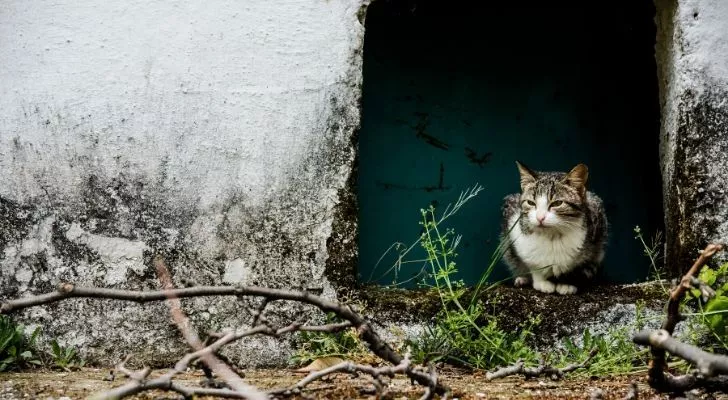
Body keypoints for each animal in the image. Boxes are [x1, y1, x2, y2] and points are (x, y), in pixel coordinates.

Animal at [500, 161, 608, 296]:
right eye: (531, 203)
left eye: (557, 203)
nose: (540, 217)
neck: (552, 235)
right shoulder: (515, 227)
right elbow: (534, 263)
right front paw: (541, 282)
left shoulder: (595, 230)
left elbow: (577, 265)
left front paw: (567, 283)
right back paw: (522, 279)